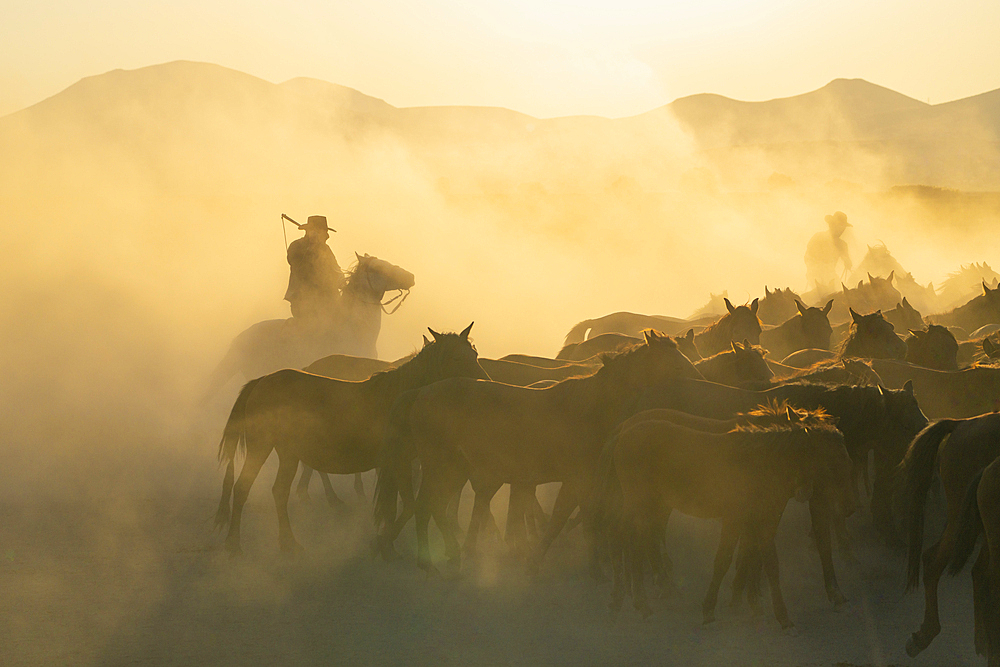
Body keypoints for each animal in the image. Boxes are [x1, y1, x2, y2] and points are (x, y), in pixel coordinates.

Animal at [215, 326, 488, 556]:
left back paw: (288, 542)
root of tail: (261, 381)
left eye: (474, 354)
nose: (485, 382)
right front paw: (385, 542)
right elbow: (405, 506)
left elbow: (396, 506)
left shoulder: (399, 463)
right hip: (261, 446)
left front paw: (387, 542)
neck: (401, 396)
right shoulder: (398, 461)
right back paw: (233, 544)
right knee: (242, 488)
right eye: (455, 358)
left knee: (279, 492)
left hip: (288, 453)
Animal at [372, 332, 708, 576]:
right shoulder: (577, 479)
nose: (703, 381)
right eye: (674, 362)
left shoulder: (582, 481)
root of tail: (420, 392)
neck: (590, 409)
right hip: (442, 467)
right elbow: (567, 519)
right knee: (427, 506)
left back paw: (450, 554)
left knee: (433, 507)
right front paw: (545, 563)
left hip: (454, 469)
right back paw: (431, 560)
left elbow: (577, 519)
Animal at [596, 404, 856, 628]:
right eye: (831, 460)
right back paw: (637, 600)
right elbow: (726, 560)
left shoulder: (764, 520)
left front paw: (773, 612)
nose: (848, 507)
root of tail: (623, 432)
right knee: (628, 540)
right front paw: (713, 607)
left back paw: (640, 596)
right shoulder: (735, 518)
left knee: (637, 539)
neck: (764, 463)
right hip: (640, 502)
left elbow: (766, 562)